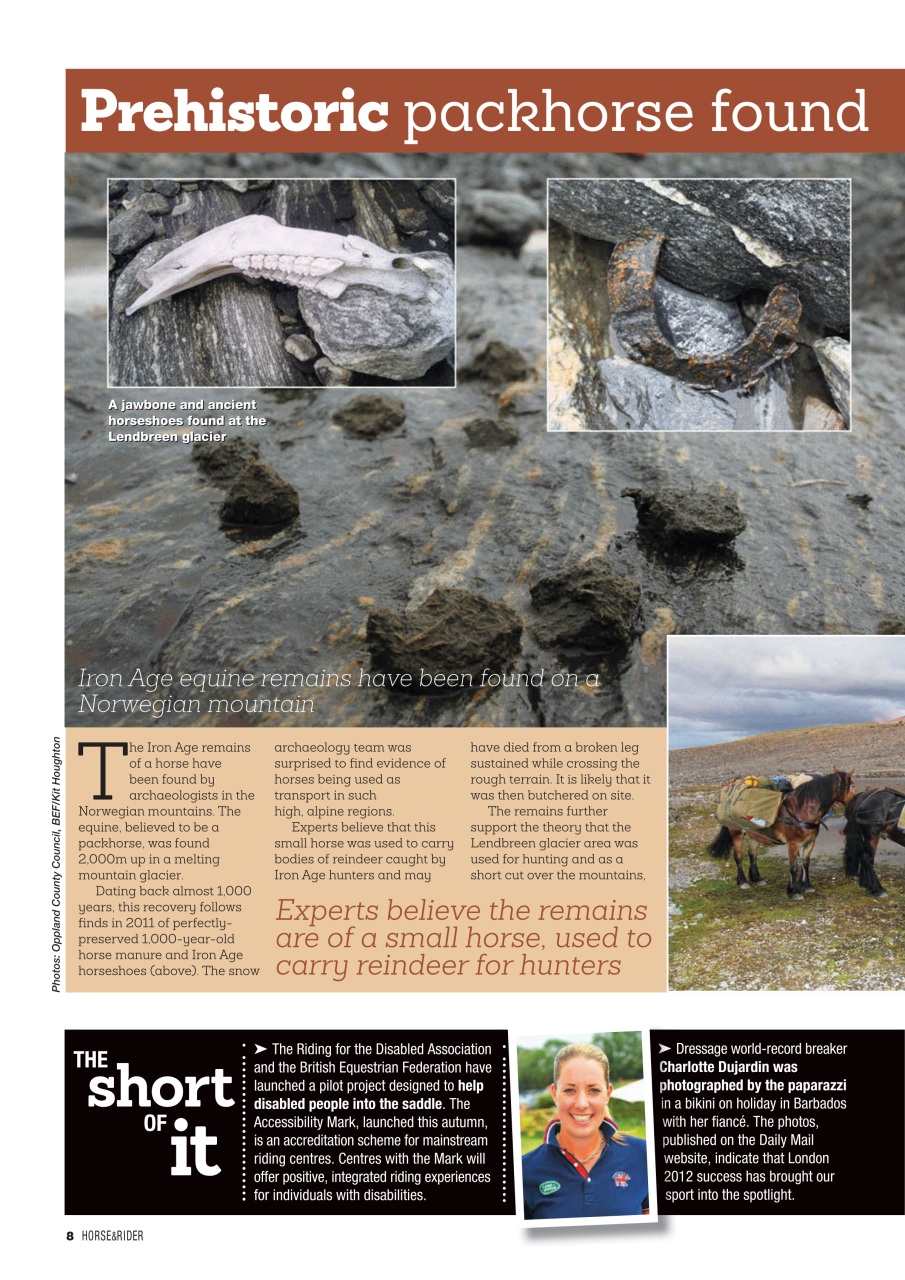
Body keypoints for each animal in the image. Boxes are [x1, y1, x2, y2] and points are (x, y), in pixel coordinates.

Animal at [708, 768, 855, 897]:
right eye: (852, 785)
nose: (855, 802)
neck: (800, 810)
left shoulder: (810, 842)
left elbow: (805, 863)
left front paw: (806, 885)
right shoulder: (793, 844)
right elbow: (793, 867)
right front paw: (794, 891)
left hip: (755, 834)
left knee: (752, 854)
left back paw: (757, 878)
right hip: (737, 833)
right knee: (738, 856)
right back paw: (743, 881)